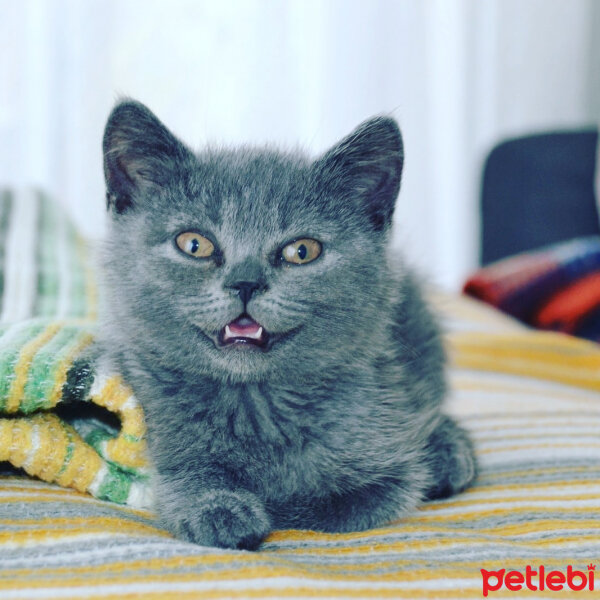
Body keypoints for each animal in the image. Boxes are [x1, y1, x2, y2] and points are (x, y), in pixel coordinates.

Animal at [98, 101, 476, 552]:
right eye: (194, 244)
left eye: (302, 251)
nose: (245, 282)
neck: (253, 403)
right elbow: (187, 468)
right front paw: (217, 505)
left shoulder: (388, 471)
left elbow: (321, 505)